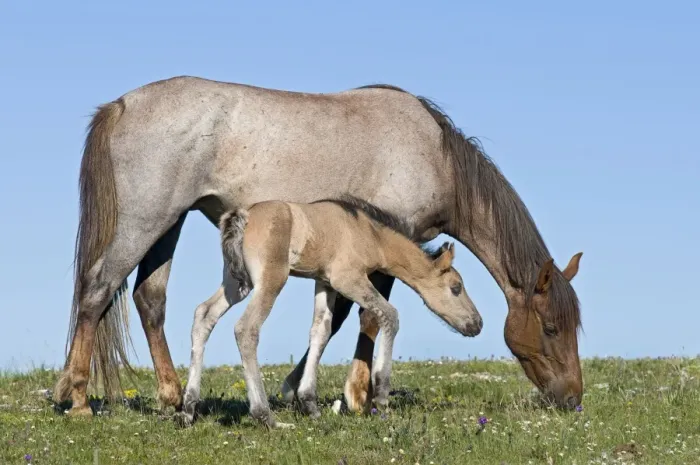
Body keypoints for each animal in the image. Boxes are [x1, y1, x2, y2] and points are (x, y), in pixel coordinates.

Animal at [178, 196, 483, 428]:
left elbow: (321, 330)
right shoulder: (347, 279)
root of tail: (243, 216)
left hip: (236, 283)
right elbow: (390, 314)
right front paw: (381, 394)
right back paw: (266, 416)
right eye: (456, 287)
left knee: (203, 315)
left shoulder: (324, 283)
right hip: (270, 280)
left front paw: (310, 404)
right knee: (246, 329)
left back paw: (188, 409)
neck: (368, 232)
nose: (477, 323)